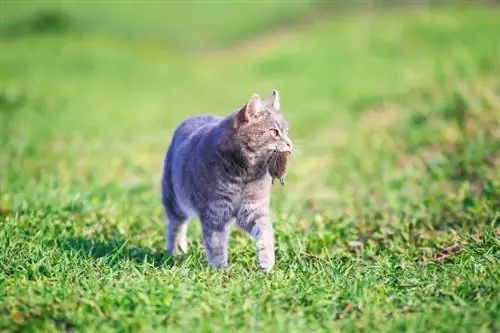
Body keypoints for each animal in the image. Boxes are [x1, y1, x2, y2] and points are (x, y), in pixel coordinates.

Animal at [160, 89, 292, 272]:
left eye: (286, 131)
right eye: (274, 132)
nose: (290, 144)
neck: (245, 174)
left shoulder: (253, 209)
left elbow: (265, 233)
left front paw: (267, 261)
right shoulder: (215, 211)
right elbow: (215, 244)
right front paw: (219, 270)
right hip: (174, 200)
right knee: (175, 226)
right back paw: (176, 252)